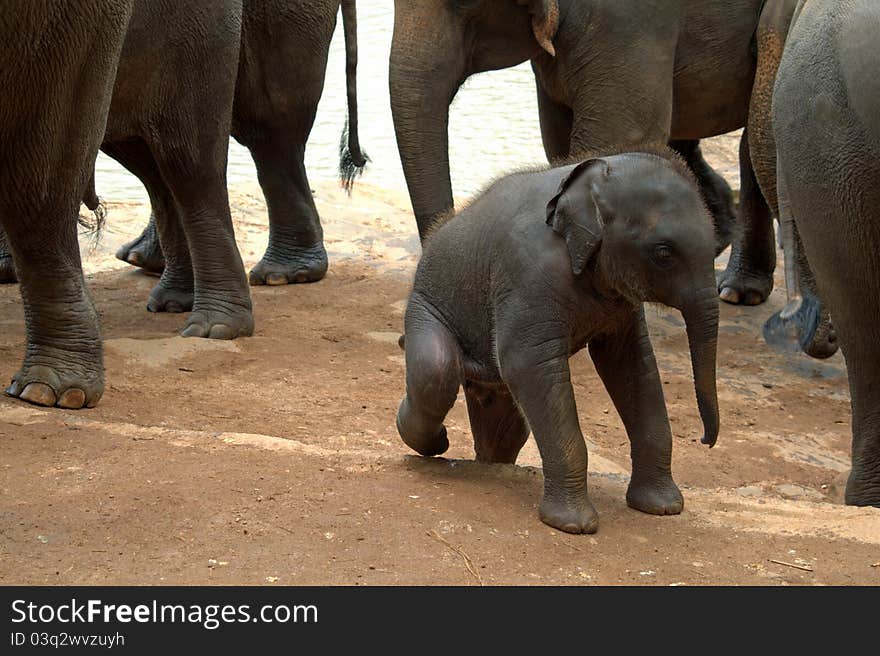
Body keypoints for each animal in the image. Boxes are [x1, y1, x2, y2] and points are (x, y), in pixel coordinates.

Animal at [396, 150, 720, 532]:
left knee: (504, 425)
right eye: (664, 253)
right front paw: (574, 526)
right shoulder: (528, 274)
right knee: (436, 371)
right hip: (426, 306)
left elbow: (631, 362)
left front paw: (663, 508)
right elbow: (524, 363)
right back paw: (432, 440)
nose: (705, 440)